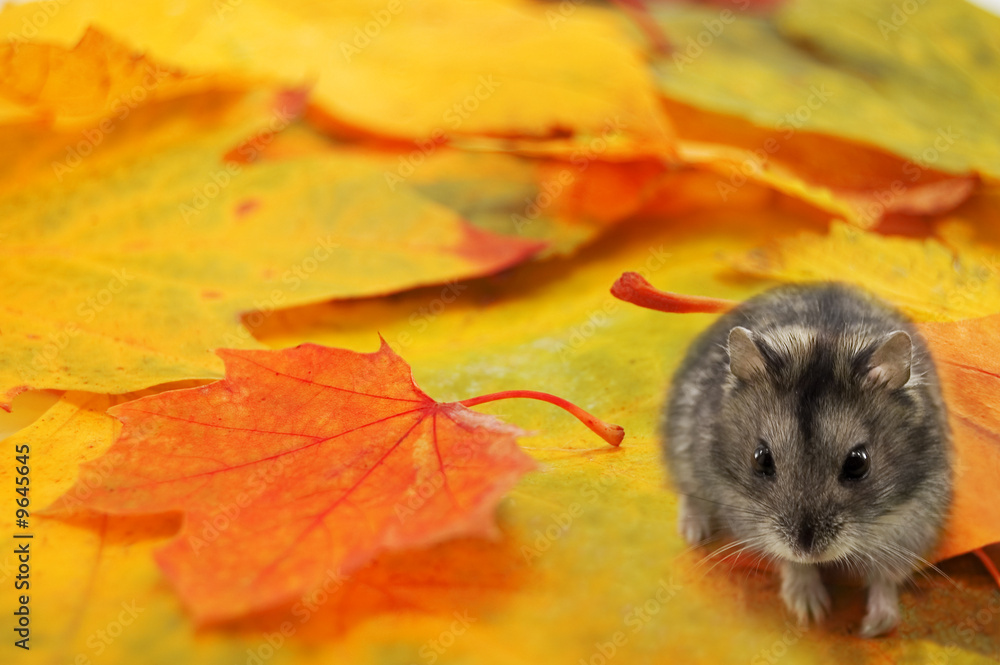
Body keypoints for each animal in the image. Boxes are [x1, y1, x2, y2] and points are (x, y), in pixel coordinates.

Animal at [664, 278, 952, 632]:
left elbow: (886, 577)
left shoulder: (913, 524)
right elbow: (790, 564)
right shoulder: (747, 515)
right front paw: (811, 611)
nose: (807, 551)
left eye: (858, 463)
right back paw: (694, 535)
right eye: (761, 458)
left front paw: (876, 627)